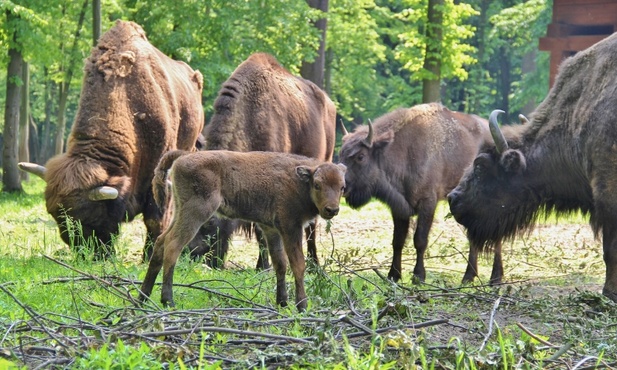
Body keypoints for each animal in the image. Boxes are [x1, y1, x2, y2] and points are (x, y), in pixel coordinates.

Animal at [17, 20, 202, 260]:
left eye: (90, 216)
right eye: (56, 216)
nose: (86, 253)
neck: (128, 99)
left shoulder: (159, 176)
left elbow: (155, 218)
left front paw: (149, 256)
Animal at [139, 149, 346, 310]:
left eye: (342, 187)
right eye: (317, 184)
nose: (332, 210)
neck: (300, 181)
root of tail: (184, 156)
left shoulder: (271, 230)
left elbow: (280, 264)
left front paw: (282, 302)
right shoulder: (290, 228)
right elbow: (298, 264)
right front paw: (301, 305)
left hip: (180, 210)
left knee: (160, 242)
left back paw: (144, 296)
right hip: (197, 212)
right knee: (173, 245)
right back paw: (168, 301)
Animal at [196, 52, 334, 268]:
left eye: (209, 221)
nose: (191, 254)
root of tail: (328, 103)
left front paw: (264, 266)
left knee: (312, 225)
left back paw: (314, 263)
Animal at [336, 104, 490, 284]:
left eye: (360, 156)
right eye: (340, 154)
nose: (342, 187)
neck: (404, 152)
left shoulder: (427, 202)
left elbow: (420, 240)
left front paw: (418, 276)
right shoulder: (399, 207)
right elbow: (398, 240)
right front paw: (393, 275)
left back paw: (471, 276)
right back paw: (470, 276)